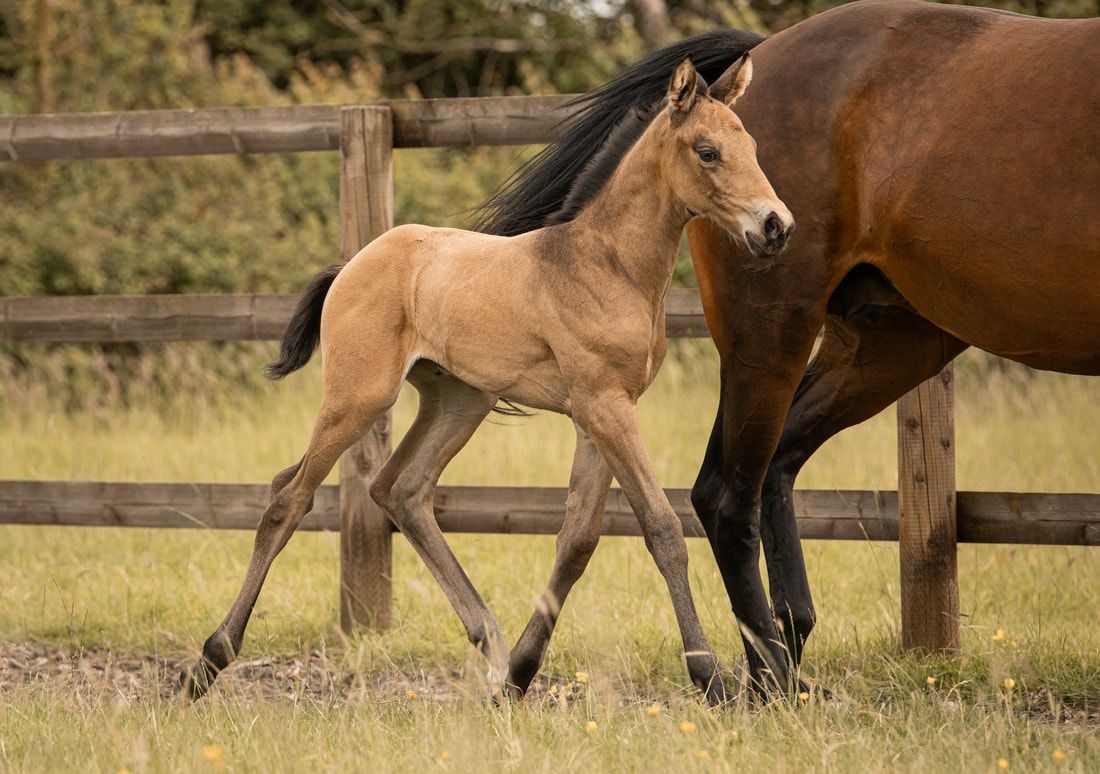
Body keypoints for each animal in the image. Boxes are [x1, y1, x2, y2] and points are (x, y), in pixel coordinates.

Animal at [180, 55, 794, 704]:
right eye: (707, 151)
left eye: (751, 146)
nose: (775, 225)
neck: (606, 265)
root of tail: (353, 263)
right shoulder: (605, 407)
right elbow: (662, 528)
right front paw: (709, 678)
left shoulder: (599, 413)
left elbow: (578, 540)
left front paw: (520, 674)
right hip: (358, 396)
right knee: (288, 498)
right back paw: (208, 662)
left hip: (459, 400)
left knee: (400, 489)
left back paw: (493, 647)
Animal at [478, 0, 1099, 695]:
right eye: (708, 151)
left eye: (748, 149)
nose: (776, 225)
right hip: (774, 336)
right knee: (727, 494)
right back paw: (768, 676)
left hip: (884, 344)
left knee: (761, 473)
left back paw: (780, 663)